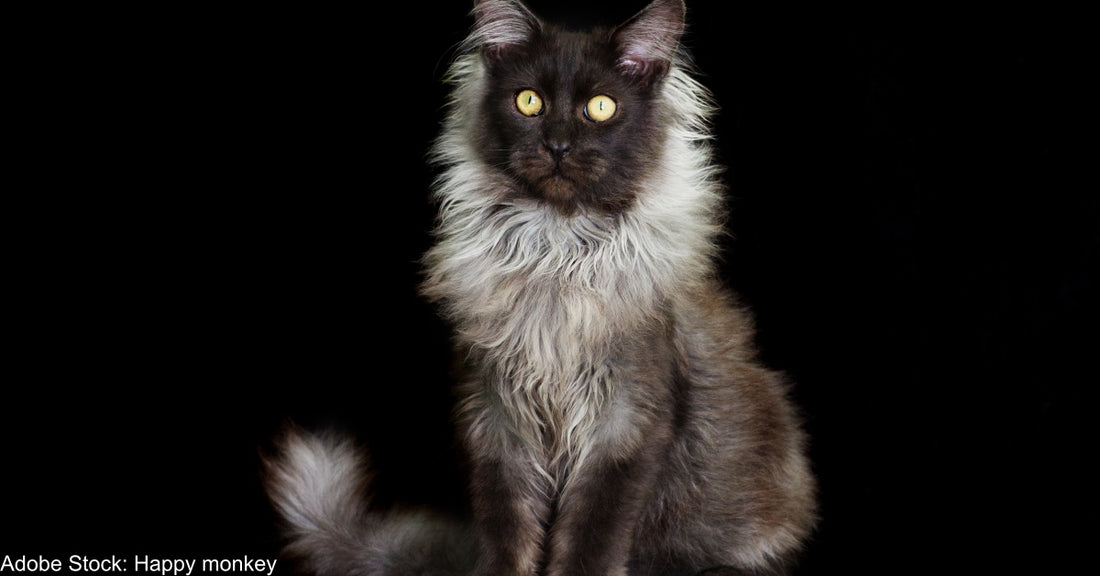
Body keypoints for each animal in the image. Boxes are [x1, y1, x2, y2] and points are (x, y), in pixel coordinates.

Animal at [264, 1, 818, 576]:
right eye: (529, 102)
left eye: (600, 107)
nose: (557, 145)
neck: (555, 255)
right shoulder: (497, 420)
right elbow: (508, 530)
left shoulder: (624, 424)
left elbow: (590, 538)